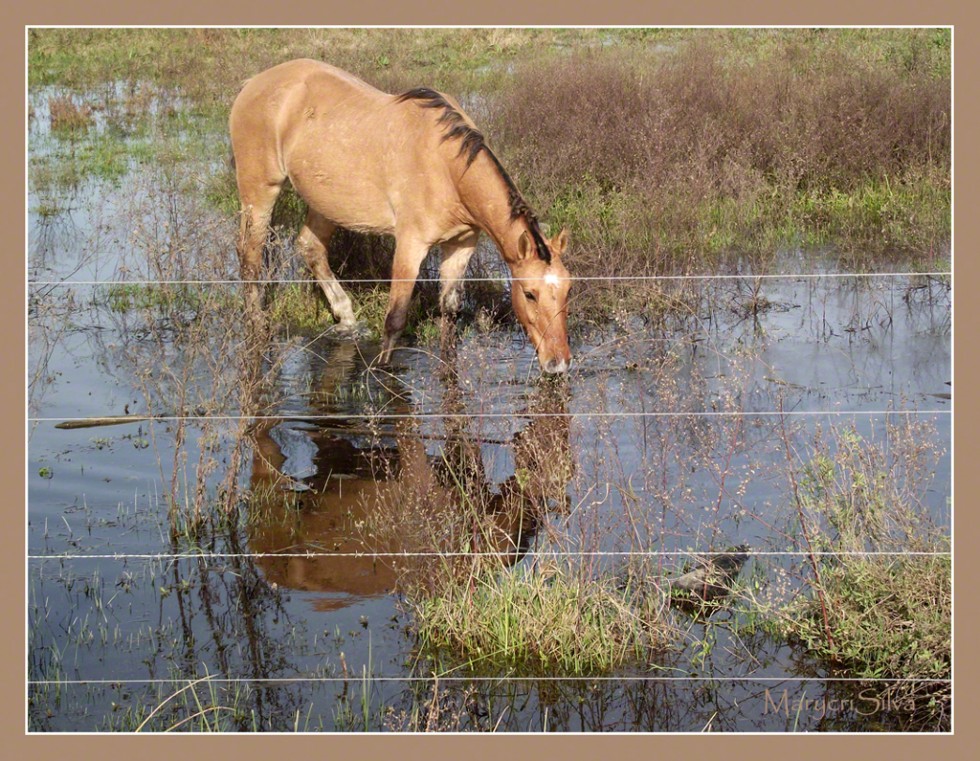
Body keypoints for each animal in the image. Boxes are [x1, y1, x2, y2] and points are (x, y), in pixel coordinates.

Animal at [228, 58, 576, 372]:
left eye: (568, 290)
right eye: (529, 294)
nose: (558, 363)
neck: (446, 168)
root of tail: (253, 83)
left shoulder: (460, 245)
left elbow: (449, 311)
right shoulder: (411, 245)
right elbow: (394, 319)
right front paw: (383, 373)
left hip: (325, 203)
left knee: (309, 247)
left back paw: (347, 318)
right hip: (260, 190)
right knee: (250, 255)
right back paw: (257, 325)